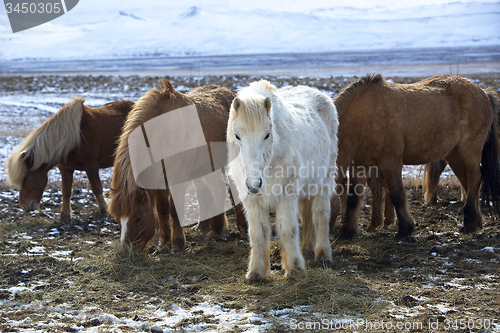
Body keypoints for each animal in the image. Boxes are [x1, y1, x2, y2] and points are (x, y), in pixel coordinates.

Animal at [6, 97, 135, 219]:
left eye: (26, 178)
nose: (24, 206)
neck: (73, 139)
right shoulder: (65, 169)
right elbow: (66, 191)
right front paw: (65, 215)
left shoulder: (91, 166)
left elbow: (97, 188)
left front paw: (104, 210)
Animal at [108, 80, 247, 250]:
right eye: (117, 219)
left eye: (138, 218)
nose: (127, 249)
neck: (162, 134)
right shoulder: (158, 181)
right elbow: (162, 209)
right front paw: (164, 242)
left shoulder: (177, 178)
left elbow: (175, 210)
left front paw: (178, 244)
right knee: (217, 189)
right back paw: (214, 230)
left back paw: (242, 229)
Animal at [228, 80, 340, 280]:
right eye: (237, 136)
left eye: (267, 134)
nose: (254, 184)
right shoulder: (252, 201)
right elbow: (258, 233)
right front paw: (256, 272)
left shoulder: (286, 196)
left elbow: (288, 229)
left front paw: (295, 268)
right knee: (307, 215)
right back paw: (307, 249)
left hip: (324, 181)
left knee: (320, 215)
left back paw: (322, 256)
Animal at [332, 74, 500, 237]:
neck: (365, 115)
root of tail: (484, 92)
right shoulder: (359, 164)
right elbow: (353, 198)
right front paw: (347, 231)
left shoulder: (390, 162)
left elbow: (397, 194)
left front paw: (405, 229)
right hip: (454, 154)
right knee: (466, 183)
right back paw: (476, 222)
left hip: (469, 150)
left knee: (474, 179)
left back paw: (470, 223)